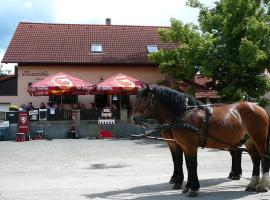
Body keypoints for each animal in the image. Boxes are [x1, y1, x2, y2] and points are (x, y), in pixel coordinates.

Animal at [131, 85, 270, 197]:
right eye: (136, 98)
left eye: (145, 99)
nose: (134, 118)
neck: (183, 113)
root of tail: (258, 107)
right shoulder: (183, 145)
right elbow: (186, 164)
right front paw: (187, 186)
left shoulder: (189, 145)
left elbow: (191, 164)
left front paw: (192, 188)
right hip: (248, 141)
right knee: (255, 158)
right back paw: (251, 183)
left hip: (259, 138)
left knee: (263, 157)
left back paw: (262, 184)